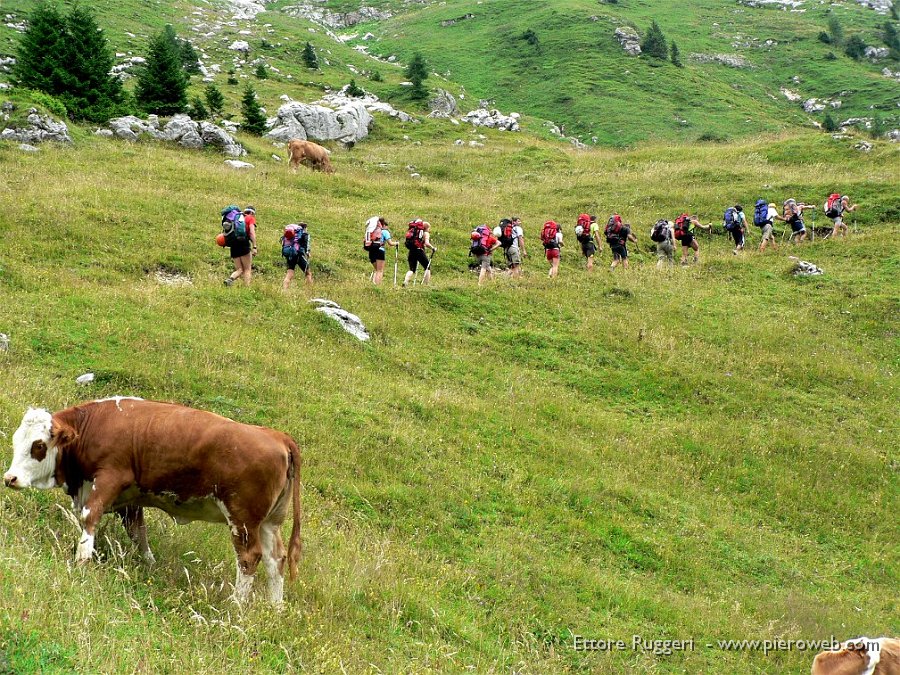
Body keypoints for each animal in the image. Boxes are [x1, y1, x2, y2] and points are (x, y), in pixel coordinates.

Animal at [2, 398, 306, 604]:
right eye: (17, 441)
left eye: (38, 445)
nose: (10, 478)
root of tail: (277, 436)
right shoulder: (130, 499)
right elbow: (138, 533)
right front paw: (150, 564)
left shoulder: (110, 477)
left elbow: (90, 517)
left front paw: (82, 562)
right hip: (268, 522)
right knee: (275, 559)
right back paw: (275, 607)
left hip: (242, 519)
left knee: (249, 557)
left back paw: (237, 605)